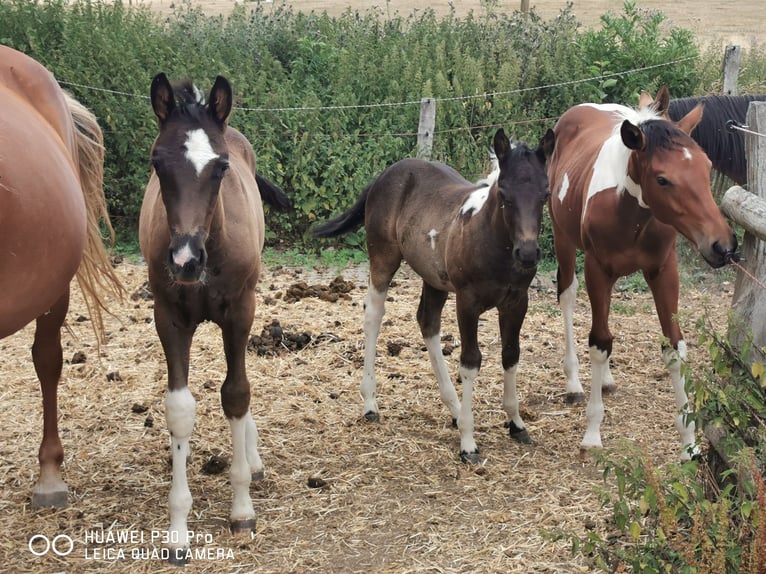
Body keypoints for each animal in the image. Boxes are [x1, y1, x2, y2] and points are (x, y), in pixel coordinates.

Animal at [139, 72, 290, 564]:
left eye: (221, 168)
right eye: (157, 163)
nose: (186, 260)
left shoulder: (241, 313)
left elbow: (237, 394)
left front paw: (242, 509)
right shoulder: (168, 319)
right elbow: (180, 410)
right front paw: (177, 532)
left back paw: (252, 460)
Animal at [313, 128, 555, 463]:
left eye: (545, 194)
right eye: (505, 195)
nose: (528, 254)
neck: (491, 240)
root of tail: (384, 175)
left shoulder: (517, 302)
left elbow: (510, 354)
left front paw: (516, 424)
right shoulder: (468, 302)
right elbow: (470, 361)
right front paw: (468, 443)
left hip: (434, 279)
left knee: (428, 322)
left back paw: (454, 409)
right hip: (383, 258)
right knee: (374, 315)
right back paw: (370, 404)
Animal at [546, 86, 738, 461]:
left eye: (708, 166)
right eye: (663, 179)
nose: (722, 245)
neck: (630, 212)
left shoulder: (663, 271)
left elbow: (674, 347)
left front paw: (689, 443)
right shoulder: (597, 270)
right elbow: (599, 341)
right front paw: (592, 432)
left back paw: (605, 380)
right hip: (563, 239)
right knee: (568, 297)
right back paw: (575, 382)